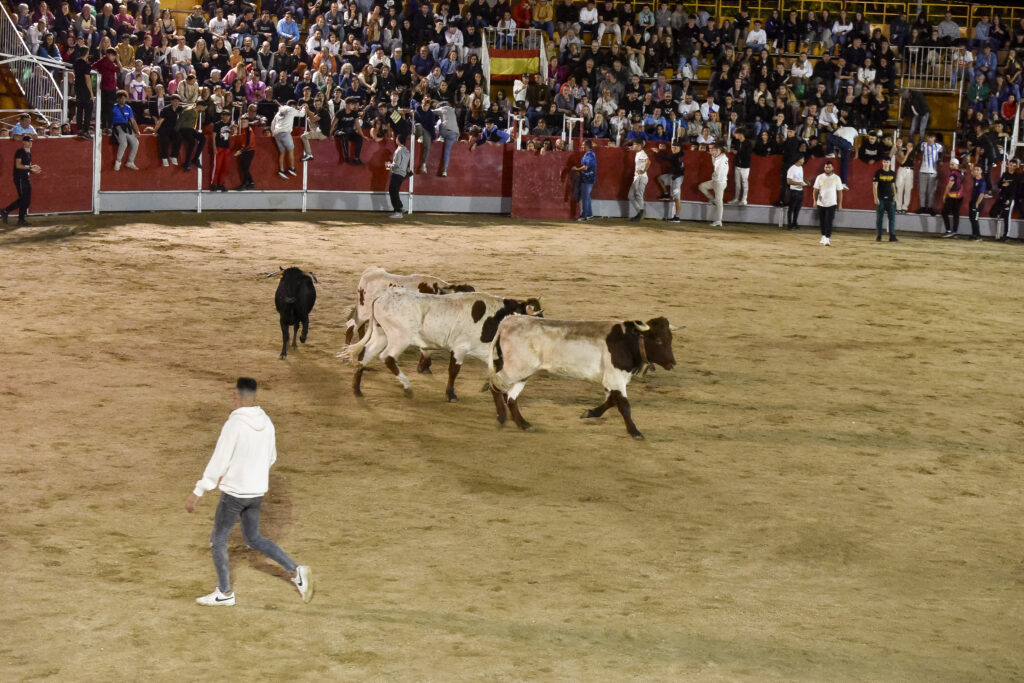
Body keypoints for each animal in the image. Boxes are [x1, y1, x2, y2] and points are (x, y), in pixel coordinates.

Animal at [487, 317, 679, 440]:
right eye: (659, 340)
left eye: (670, 339)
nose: (672, 363)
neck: (626, 342)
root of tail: (506, 322)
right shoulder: (615, 378)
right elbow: (624, 405)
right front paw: (635, 432)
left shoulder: (612, 380)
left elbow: (611, 401)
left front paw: (590, 412)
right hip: (516, 368)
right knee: (495, 384)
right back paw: (502, 417)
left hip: (523, 372)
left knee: (510, 396)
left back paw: (522, 423)